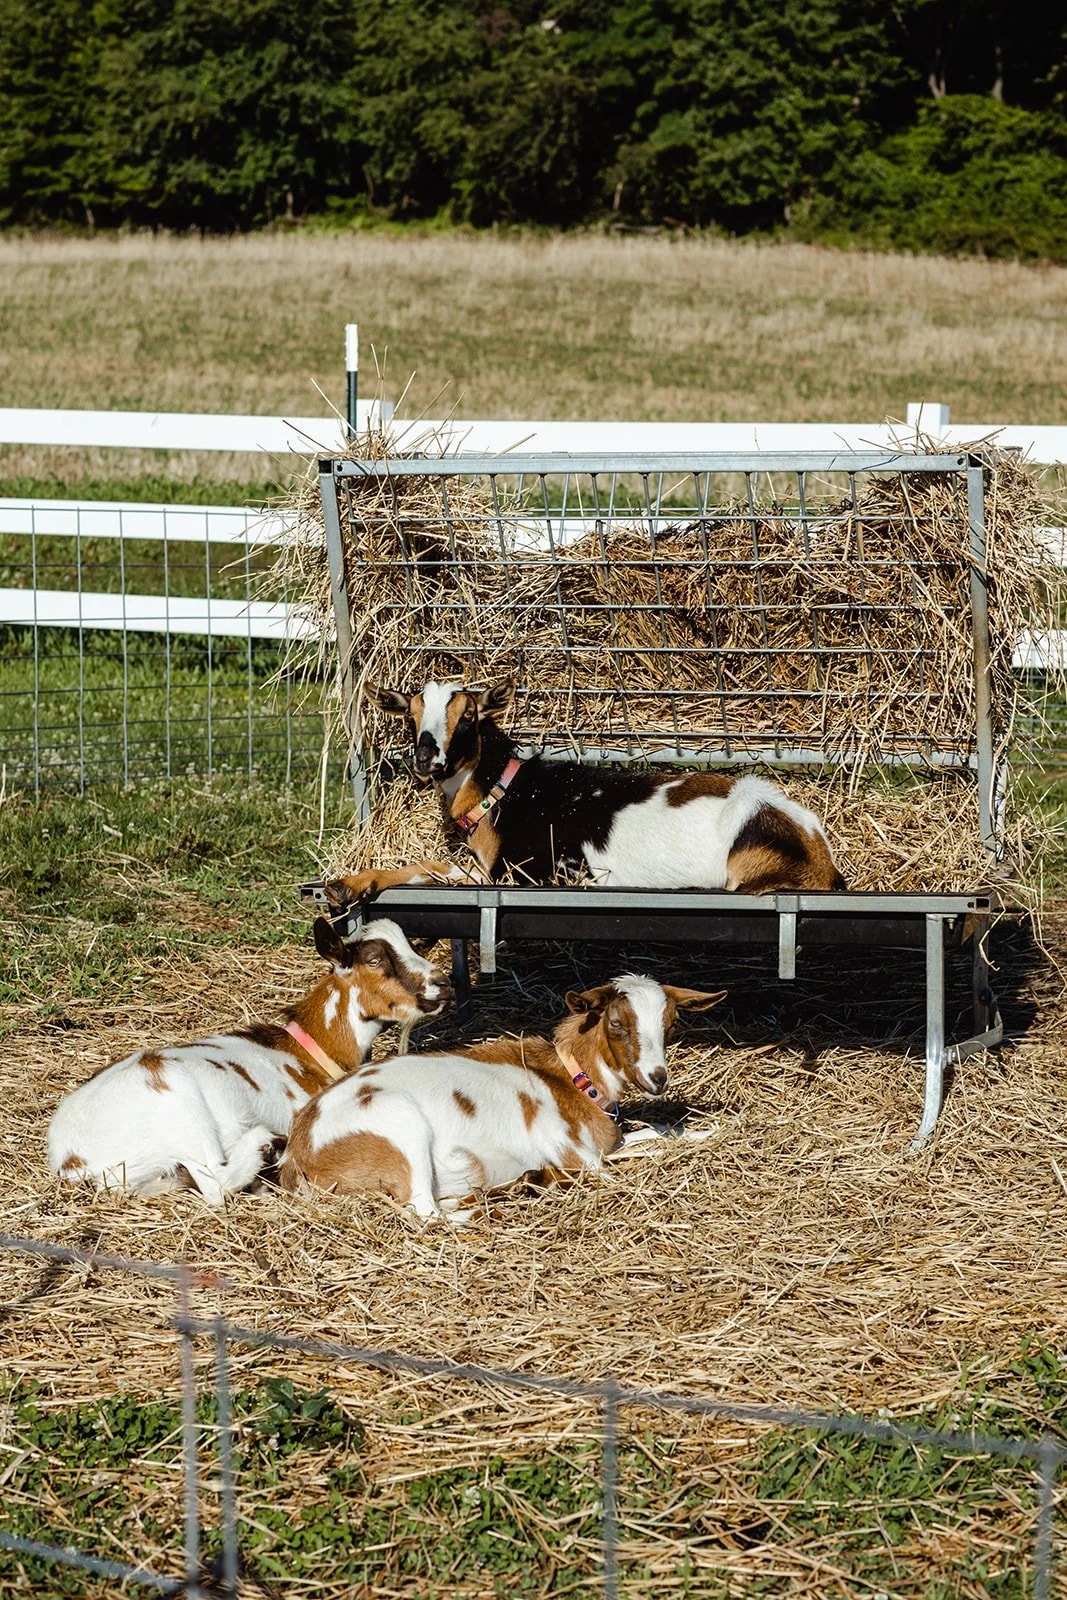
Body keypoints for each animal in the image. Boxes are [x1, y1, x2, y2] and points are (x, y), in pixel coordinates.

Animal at [47, 918, 451, 1206]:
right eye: (375, 959)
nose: (443, 983)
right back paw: (263, 1144)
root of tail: (72, 1157)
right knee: (215, 1184)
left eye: (411, 945)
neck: (308, 1051)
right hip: (177, 1102)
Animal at [278, 975, 724, 1215]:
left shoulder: (604, 1143)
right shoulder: (568, 1150)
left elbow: (658, 1133)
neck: (570, 1078)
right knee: (424, 1211)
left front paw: (711, 1131)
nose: (657, 1078)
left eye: (671, 1022)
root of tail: (299, 1148)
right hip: (400, 1123)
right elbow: (614, 1175)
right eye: (616, 1023)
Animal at [328, 679, 845, 905]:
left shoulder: (528, 873)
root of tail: (818, 847)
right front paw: (348, 884)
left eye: (469, 717)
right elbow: (431, 868)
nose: (426, 760)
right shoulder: (488, 868)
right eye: (411, 717)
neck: (503, 789)